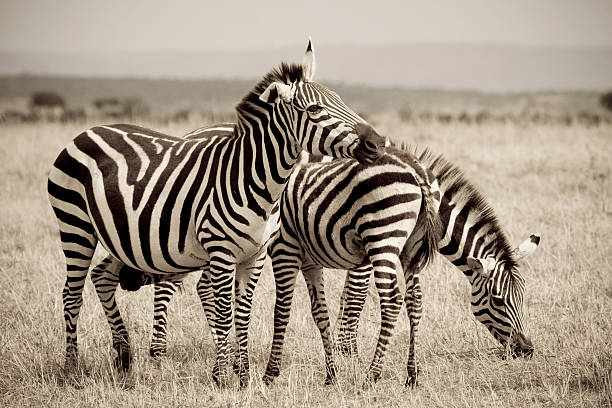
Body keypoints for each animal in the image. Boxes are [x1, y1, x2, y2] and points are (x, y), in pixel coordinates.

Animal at [47, 39, 384, 388]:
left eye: (341, 100)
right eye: (315, 110)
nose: (377, 142)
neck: (255, 180)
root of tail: (86, 131)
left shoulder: (255, 255)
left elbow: (243, 311)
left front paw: (244, 376)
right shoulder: (222, 251)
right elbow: (225, 311)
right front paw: (223, 377)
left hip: (126, 235)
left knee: (102, 277)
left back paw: (125, 357)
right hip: (76, 226)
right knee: (72, 294)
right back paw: (73, 368)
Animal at [149, 145, 444, 388]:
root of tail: (416, 170)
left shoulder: (284, 249)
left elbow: (280, 311)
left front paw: (269, 373)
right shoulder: (309, 261)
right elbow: (320, 314)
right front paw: (331, 375)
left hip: (382, 237)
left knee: (392, 301)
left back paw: (372, 375)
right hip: (409, 250)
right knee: (415, 301)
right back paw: (412, 374)